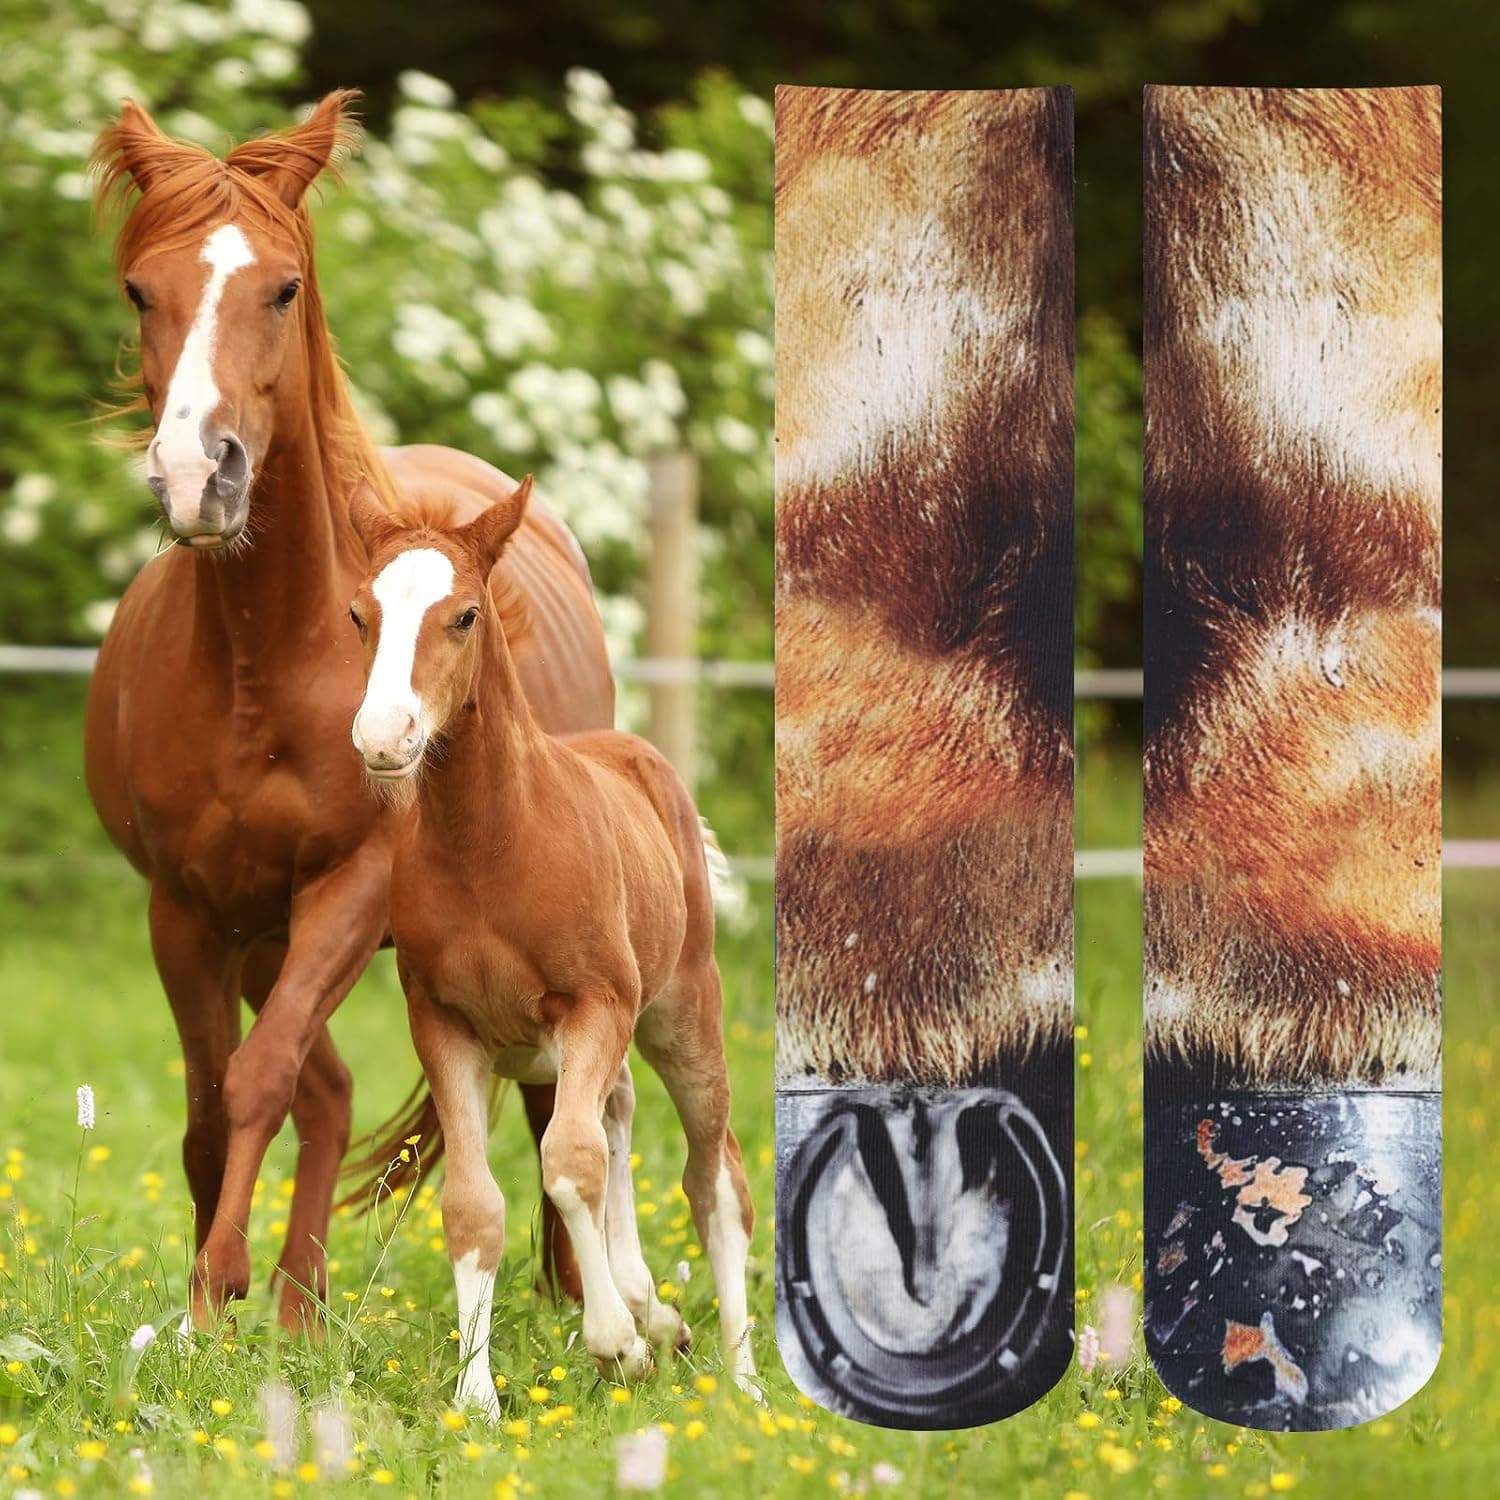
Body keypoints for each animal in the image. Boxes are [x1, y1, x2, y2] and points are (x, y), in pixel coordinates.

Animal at [83, 91, 613, 1331]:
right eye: (141, 290)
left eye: (283, 288)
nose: (200, 475)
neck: (263, 665)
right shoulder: (187, 910)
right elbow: (209, 1106)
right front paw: (214, 1307)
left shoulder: (350, 886)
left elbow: (258, 1079)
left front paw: (217, 1288)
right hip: (258, 936)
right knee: (326, 1091)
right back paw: (299, 1302)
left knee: (524, 1095)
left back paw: (567, 1300)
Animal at [343, 480, 755, 1411]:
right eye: (358, 614)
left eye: (463, 616)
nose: (384, 738)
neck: (491, 845)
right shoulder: (445, 1027)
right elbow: (474, 1204)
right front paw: (477, 1400)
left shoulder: (594, 1006)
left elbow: (568, 1163)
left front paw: (617, 1346)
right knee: (620, 1115)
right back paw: (652, 1306)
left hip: (682, 1011)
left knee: (714, 1180)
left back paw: (743, 1379)